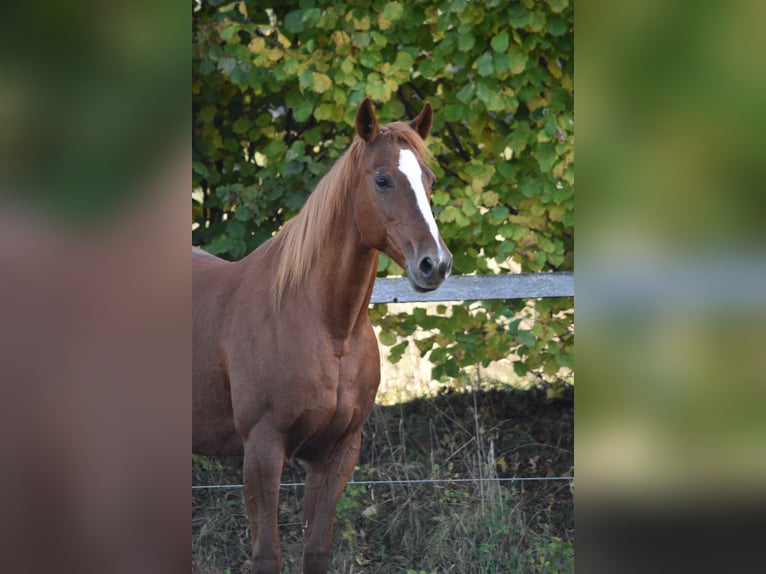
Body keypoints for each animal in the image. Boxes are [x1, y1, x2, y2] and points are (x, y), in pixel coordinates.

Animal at [192, 98, 452, 574]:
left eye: (430, 180)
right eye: (382, 179)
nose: (435, 265)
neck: (328, 330)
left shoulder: (336, 453)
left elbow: (315, 549)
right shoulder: (262, 451)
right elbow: (267, 554)